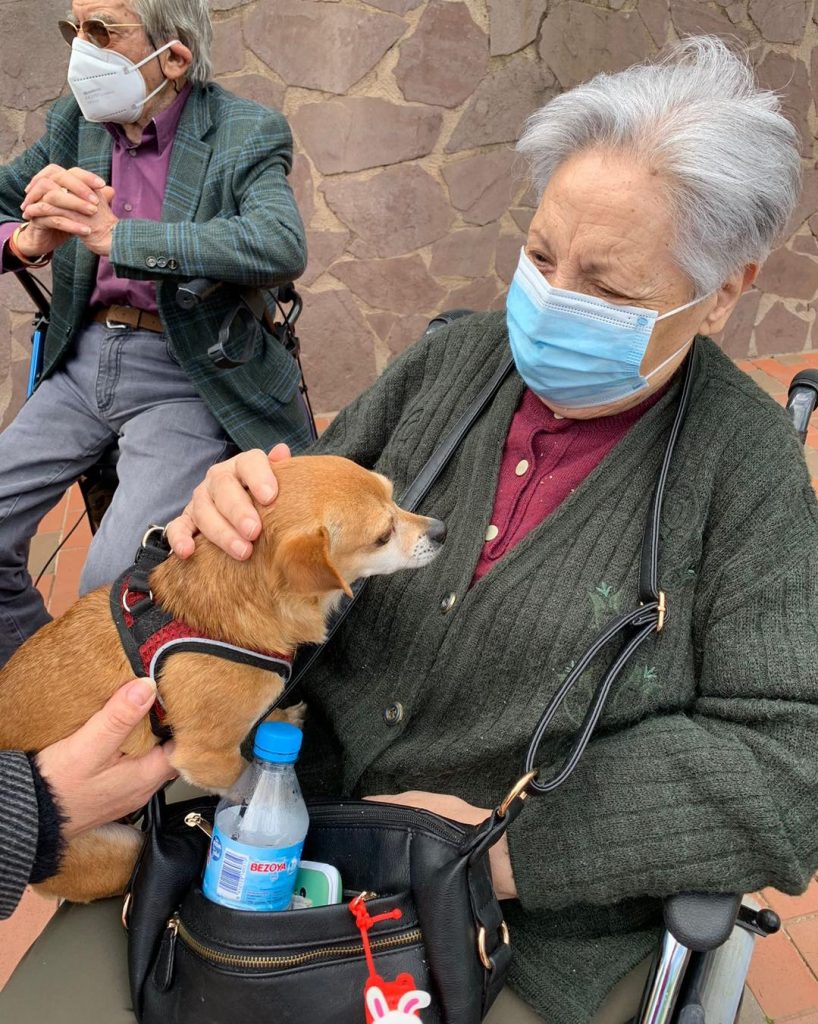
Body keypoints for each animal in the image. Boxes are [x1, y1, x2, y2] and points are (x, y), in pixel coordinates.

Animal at [1, 456, 448, 905]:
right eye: (382, 536)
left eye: (393, 495)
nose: (441, 530)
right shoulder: (206, 756)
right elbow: (245, 780)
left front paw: (280, 719)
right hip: (118, 851)